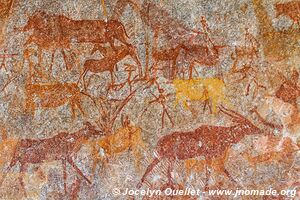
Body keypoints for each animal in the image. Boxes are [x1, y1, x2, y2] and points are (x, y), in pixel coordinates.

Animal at [137, 106, 268, 189]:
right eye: (248, 125)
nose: (260, 130)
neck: (221, 135)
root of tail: (159, 142)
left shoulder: (215, 156)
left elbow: (223, 170)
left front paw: (237, 184)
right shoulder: (208, 155)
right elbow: (209, 171)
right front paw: (206, 188)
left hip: (166, 158)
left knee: (158, 169)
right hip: (168, 157)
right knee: (161, 169)